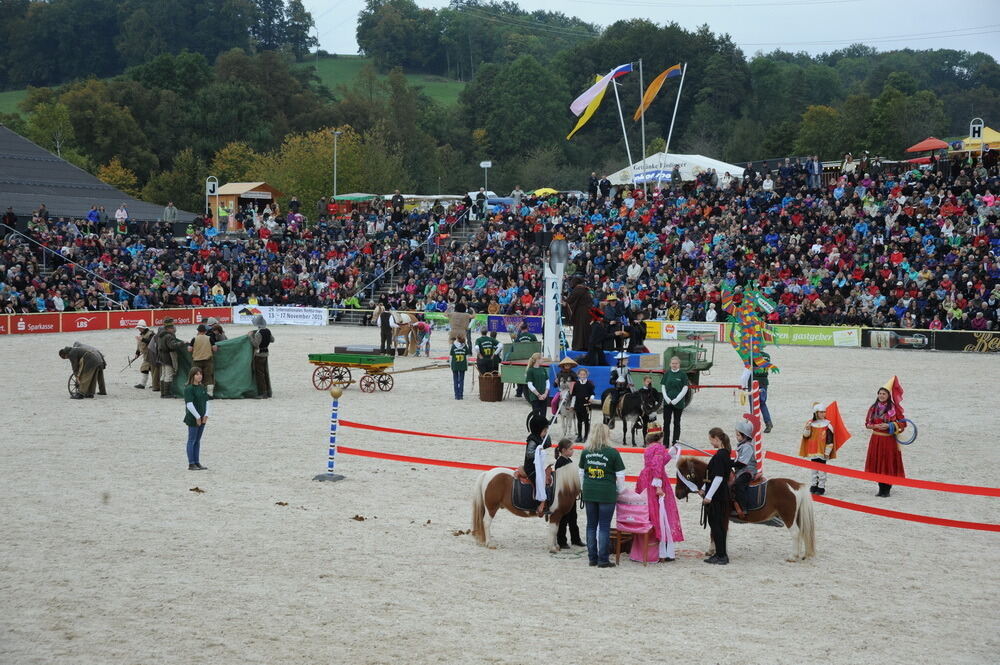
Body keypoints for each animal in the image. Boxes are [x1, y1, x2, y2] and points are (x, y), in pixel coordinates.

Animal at [676, 456, 816, 560]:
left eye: (686, 476)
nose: (677, 494)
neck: (718, 485)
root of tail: (794, 485)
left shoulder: (723, 515)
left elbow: (720, 531)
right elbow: (713, 532)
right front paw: (712, 550)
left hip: (788, 516)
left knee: (795, 533)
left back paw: (793, 556)